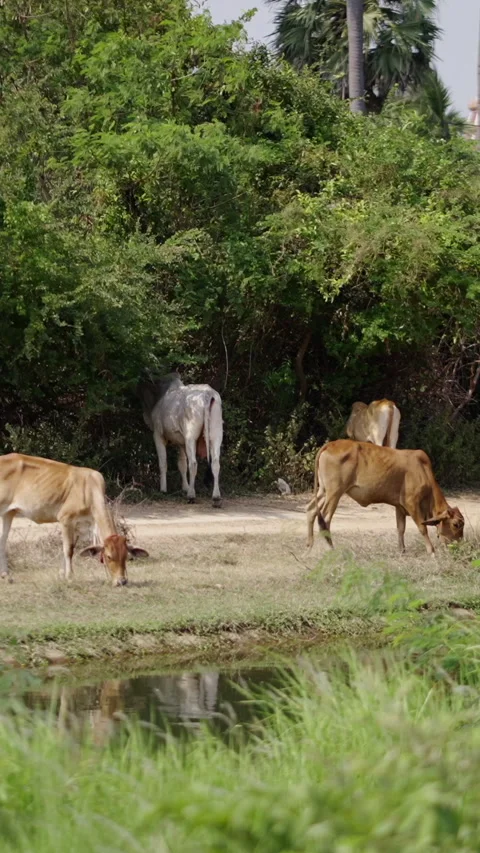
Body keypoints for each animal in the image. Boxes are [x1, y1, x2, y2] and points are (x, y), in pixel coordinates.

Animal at [0, 453, 148, 585]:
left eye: (126, 557)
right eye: (109, 556)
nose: (122, 581)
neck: (90, 490)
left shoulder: (80, 526)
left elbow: (68, 548)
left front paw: (61, 574)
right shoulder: (65, 519)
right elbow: (68, 549)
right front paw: (70, 576)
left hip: (8, 513)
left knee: (2, 540)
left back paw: (6, 576)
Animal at [140, 374, 223, 506]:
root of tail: (207, 394)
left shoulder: (158, 435)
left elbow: (163, 463)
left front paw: (163, 489)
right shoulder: (181, 442)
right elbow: (182, 464)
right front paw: (185, 487)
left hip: (191, 437)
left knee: (193, 463)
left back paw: (191, 495)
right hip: (216, 435)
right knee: (215, 463)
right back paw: (216, 497)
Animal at [306, 440, 464, 555]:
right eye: (456, 524)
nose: (460, 546)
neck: (423, 470)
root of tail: (331, 444)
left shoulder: (399, 507)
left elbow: (401, 528)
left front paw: (402, 550)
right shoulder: (411, 503)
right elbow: (422, 528)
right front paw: (431, 551)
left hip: (323, 491)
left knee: (311, 510)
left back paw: (309, 546)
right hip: (335, 493)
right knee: (325, 519)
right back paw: (331, 550)